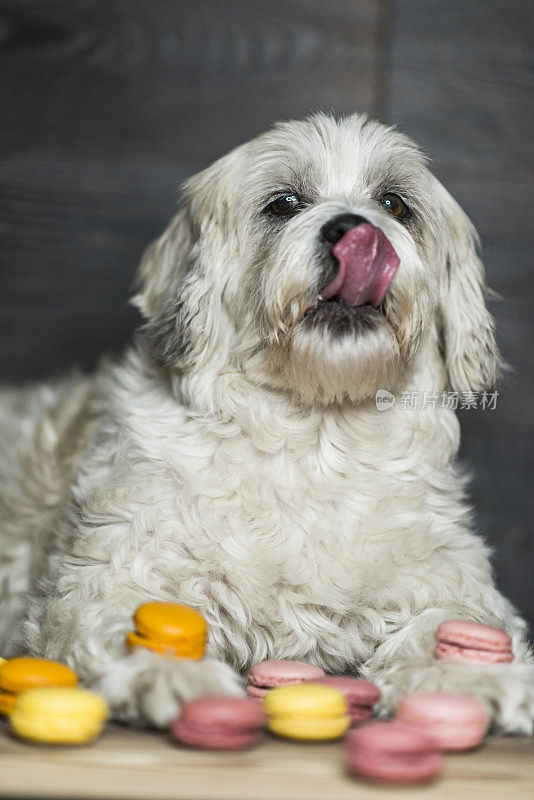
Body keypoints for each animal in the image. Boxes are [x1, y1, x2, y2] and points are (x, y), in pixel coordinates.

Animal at [1, 112, 534, 732]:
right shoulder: (97, 584)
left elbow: (448, 625)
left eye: (395, 204)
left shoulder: (451, 582)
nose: (355, 229)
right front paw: (171, 673)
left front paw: (471, 677)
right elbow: (128, 624)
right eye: (283, 203)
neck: (315, 440)